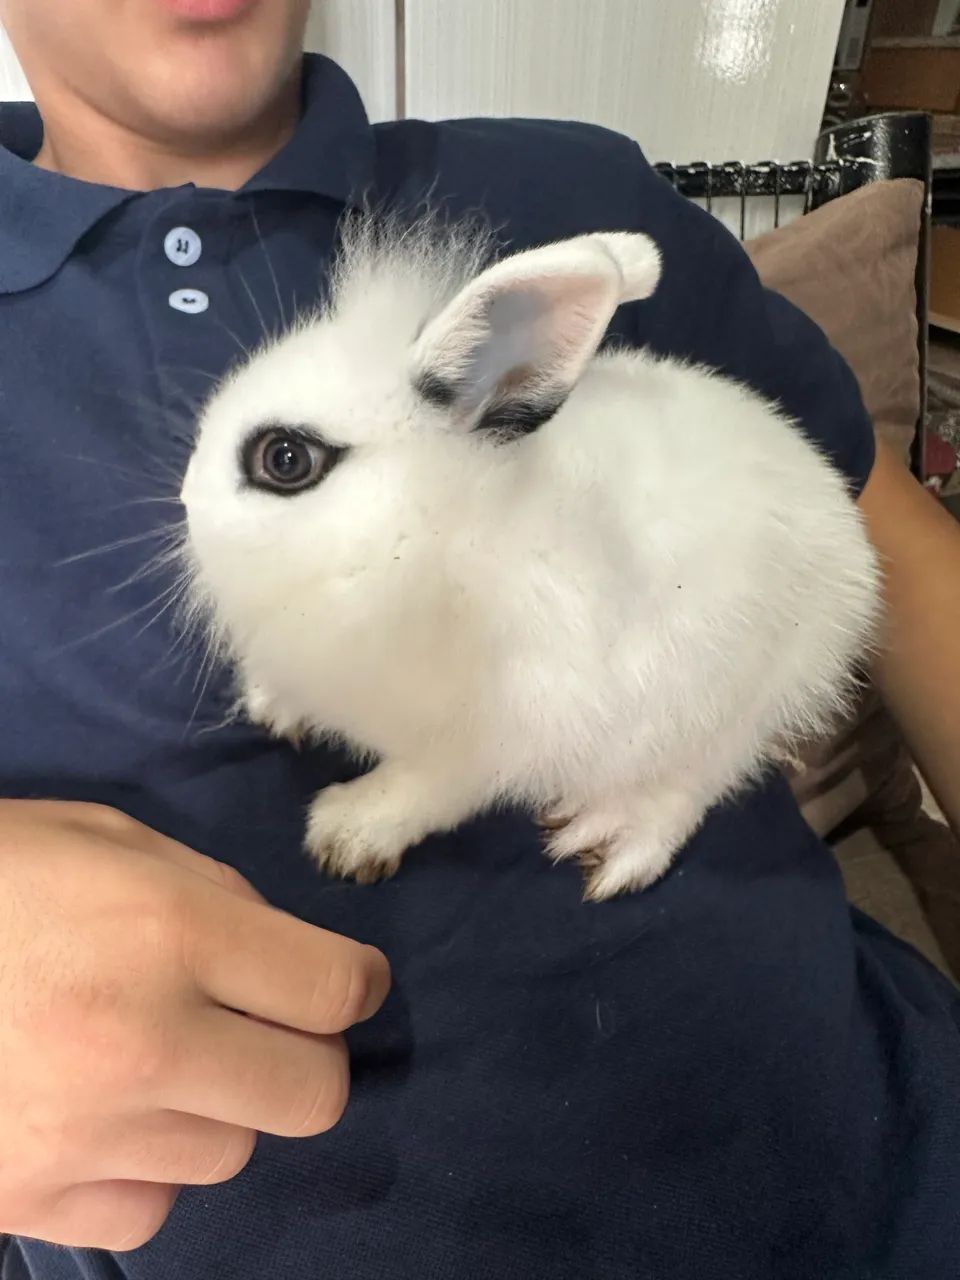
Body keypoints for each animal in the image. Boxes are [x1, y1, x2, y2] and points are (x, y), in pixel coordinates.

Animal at [179, 213, 882, 902]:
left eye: (285, 459)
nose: (186, 497)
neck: (431, 541)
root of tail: (848, 540)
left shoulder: (502, 734)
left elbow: (428, 790)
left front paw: (348, 834)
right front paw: (273, 705)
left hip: (726, 705)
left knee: (697, 781)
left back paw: (614, 845)